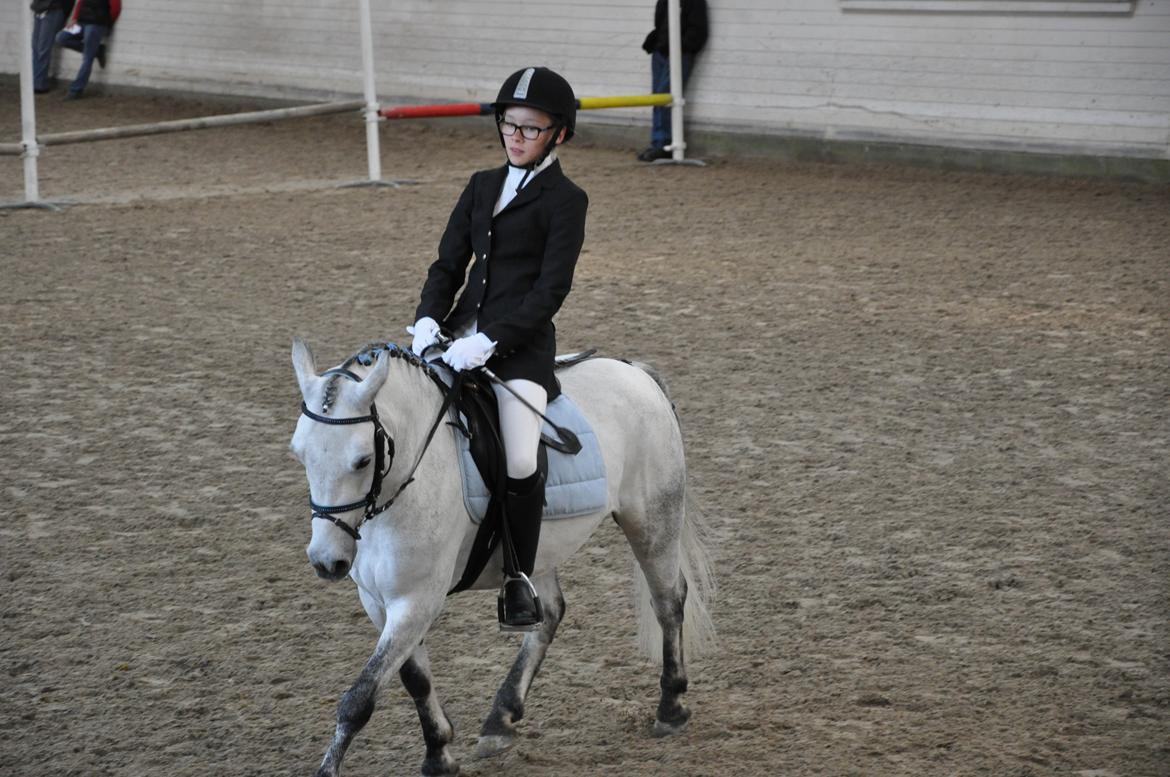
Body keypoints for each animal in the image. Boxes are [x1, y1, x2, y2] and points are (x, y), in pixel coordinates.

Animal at [289, 338, 714, 777]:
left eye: (362, 460)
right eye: (299, 454)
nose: (326, 561)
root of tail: (634, 372)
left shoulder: (416, 601)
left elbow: (360, 698)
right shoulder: (378, 602)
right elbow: (414, 678)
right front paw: (439, 754)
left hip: (652, 519)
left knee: (668, 602)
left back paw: (671, 707)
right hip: (540, 549)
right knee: (551, 613)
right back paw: (501, 717)